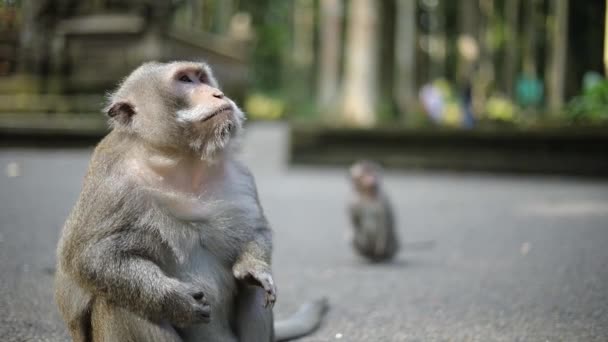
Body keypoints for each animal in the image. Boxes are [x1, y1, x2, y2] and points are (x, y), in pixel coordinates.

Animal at [54, 60, 326, 340]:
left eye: (202, 78)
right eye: (185, 80)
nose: (218, 94)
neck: (183, 158)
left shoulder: (241, 176)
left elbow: (256, 231)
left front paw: (254, 268)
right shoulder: (112, 183)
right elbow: (90, 257)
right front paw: (173, 300)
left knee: (253, 290)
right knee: (118, 301)